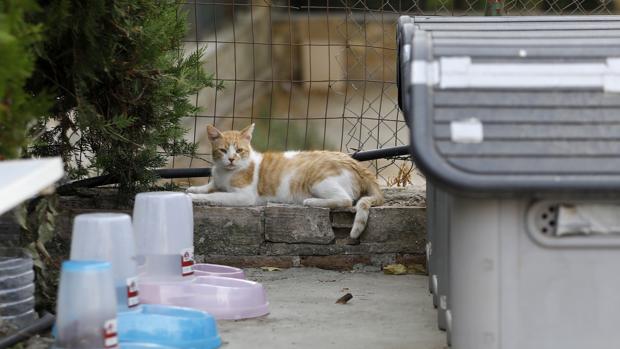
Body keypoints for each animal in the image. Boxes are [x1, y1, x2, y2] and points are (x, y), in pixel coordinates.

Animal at [186, 124, 386, 242]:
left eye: (240, 150)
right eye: (223, 150)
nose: (231, 159)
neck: (225, 172)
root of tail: (355, 163)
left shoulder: (244, 196)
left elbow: (216, 195)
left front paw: (194, 197)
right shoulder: (217, 181)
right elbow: (209, 187)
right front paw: (194, 189)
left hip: (319, 182)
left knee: (346, 200)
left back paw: (312, 201)